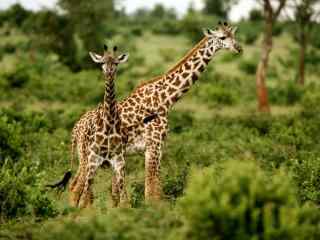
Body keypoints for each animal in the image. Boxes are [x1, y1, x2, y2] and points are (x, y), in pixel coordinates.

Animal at [69, 45, 130, 208]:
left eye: (116, 63)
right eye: (101, 63)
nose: (109, 73)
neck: (109, 123)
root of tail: (76, 127)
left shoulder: (119, 160)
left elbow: (123, 196)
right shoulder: (93, 159)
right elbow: (85, 196)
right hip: (84, 158)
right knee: (79, 188)